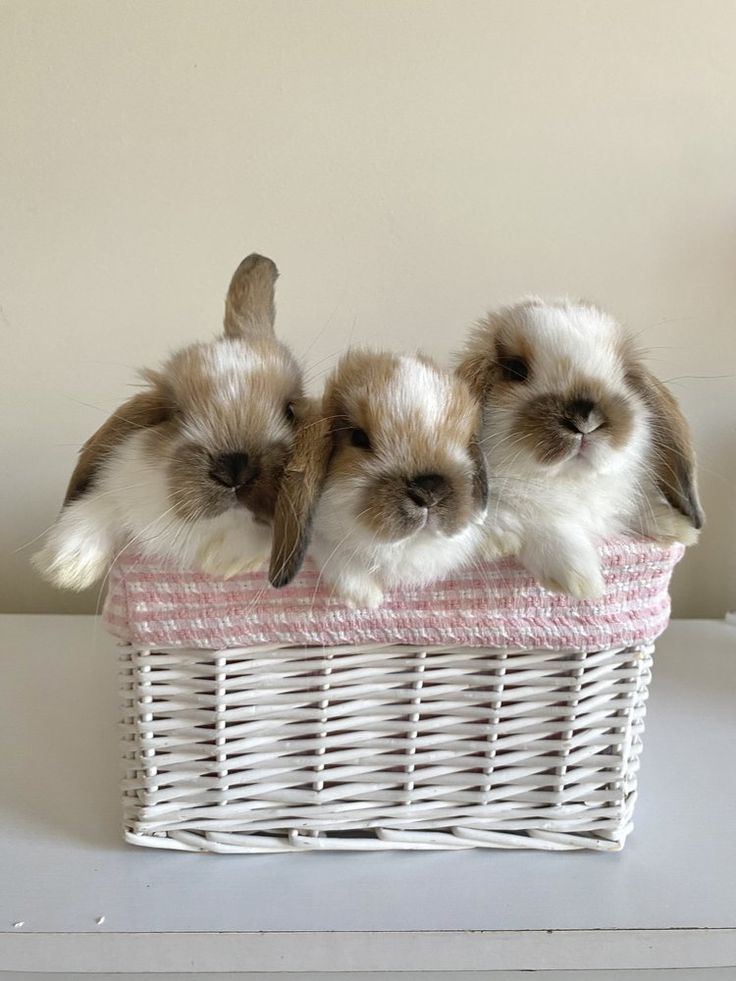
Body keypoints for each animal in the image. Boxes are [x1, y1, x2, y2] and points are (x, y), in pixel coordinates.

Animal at [33, 255, 304, 588]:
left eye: (290, 410)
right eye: (176, 413)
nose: (235, 468)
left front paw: (228, 561)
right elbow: (98, 506)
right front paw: (65, 566)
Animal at [458, 294, 704, 596]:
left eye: (625, 375)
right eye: (516, 369)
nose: (585, 418)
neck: (568, 481)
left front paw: (674, 525)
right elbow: (535, 520)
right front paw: (579, 578)